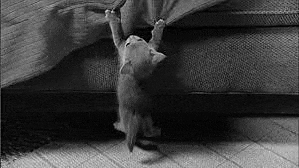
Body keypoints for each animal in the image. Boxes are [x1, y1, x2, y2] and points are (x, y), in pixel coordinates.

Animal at [105, 9, 166, 152]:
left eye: (139, 39)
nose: (132, 35)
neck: (136, 76)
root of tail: (134, 117)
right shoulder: (152, 46)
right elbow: (156, 39)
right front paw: (159, 28)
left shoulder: (120, 46)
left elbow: (116, 32)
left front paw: (112, 17)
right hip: (147, 117)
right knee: (148, 133)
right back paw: (156, 131)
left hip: (123, 116)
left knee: (123, 129)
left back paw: (116, 125)